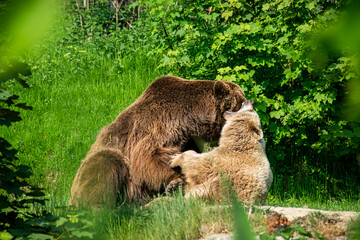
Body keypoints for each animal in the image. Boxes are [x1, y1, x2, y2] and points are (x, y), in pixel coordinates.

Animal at [69, 76, 246, 207]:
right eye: (241, 101)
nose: (250, 102)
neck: (190, 120)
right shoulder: (158, 124)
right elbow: (149, 157)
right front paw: (177, 181)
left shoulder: (189, 139)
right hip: (95, 168)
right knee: (106, 163)